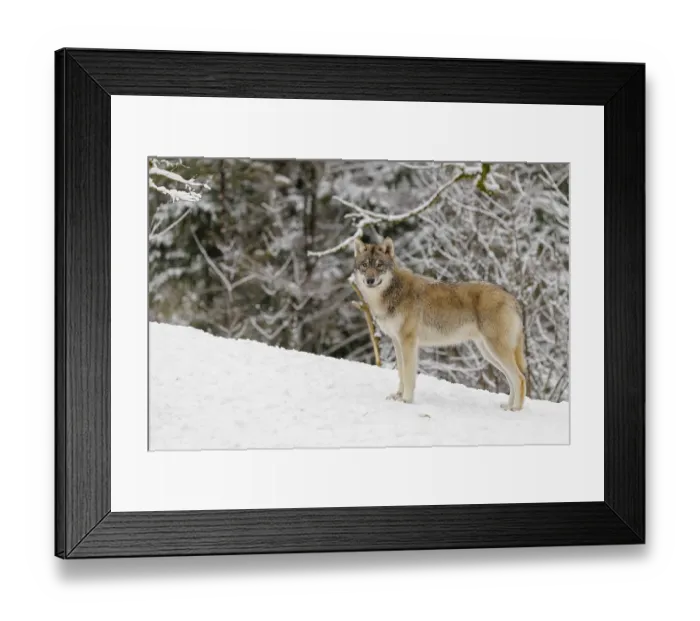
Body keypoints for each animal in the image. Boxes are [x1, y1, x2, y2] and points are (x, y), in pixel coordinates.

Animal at [353, 237, 528, 411]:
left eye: (379, 265)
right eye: (364, 265)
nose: (370, 280)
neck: (393, 292)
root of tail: (512, 298)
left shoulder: (408, 342)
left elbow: (408, 375)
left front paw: (406, 400)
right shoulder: (397, 342)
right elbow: (401, 373)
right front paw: (398, 396)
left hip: (496, 350)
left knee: (520, 378)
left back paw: (516, 409)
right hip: (488, 352)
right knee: (512, 378)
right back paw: (508, 406)